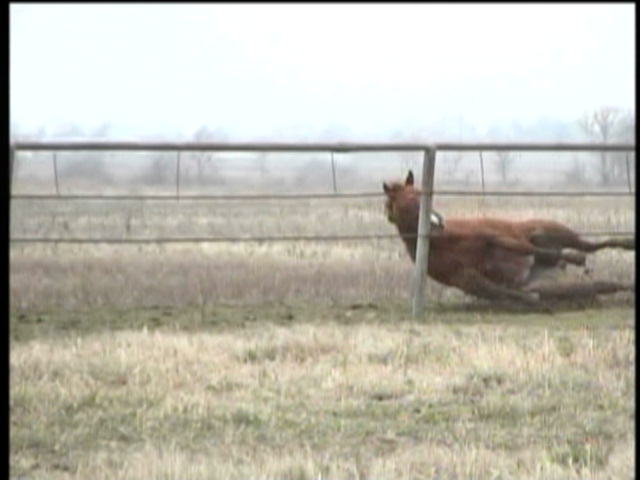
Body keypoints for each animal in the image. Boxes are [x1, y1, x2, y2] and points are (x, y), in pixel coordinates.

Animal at [382, 171, 632, 306]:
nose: (438, 222)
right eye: (408, 202)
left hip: (554, 231)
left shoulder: (493, 238)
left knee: (593, 246)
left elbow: (531, 250)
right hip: (566, 286)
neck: (441, 241)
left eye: (421, 195)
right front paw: (531, 298)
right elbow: (505, 293)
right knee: (606, 284)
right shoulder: (467, 280)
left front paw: (570, 258)